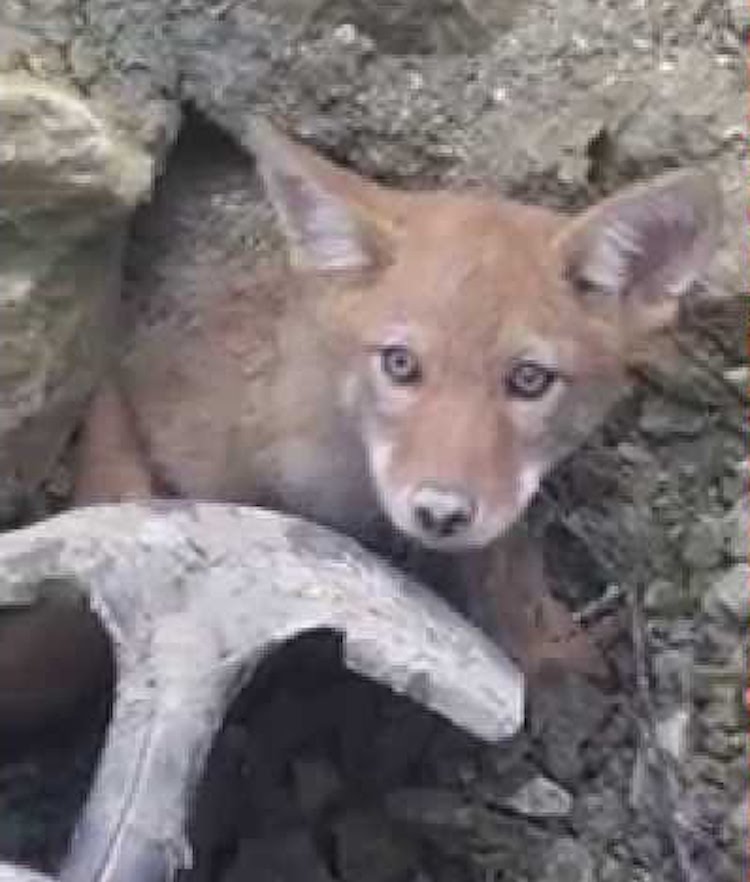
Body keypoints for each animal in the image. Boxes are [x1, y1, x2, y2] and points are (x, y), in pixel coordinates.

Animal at [4, 122, 724, 728]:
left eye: (529, 379)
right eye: (401, 364)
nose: (440, 513)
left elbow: (506, 555)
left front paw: (544, 644)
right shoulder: (137, 405)